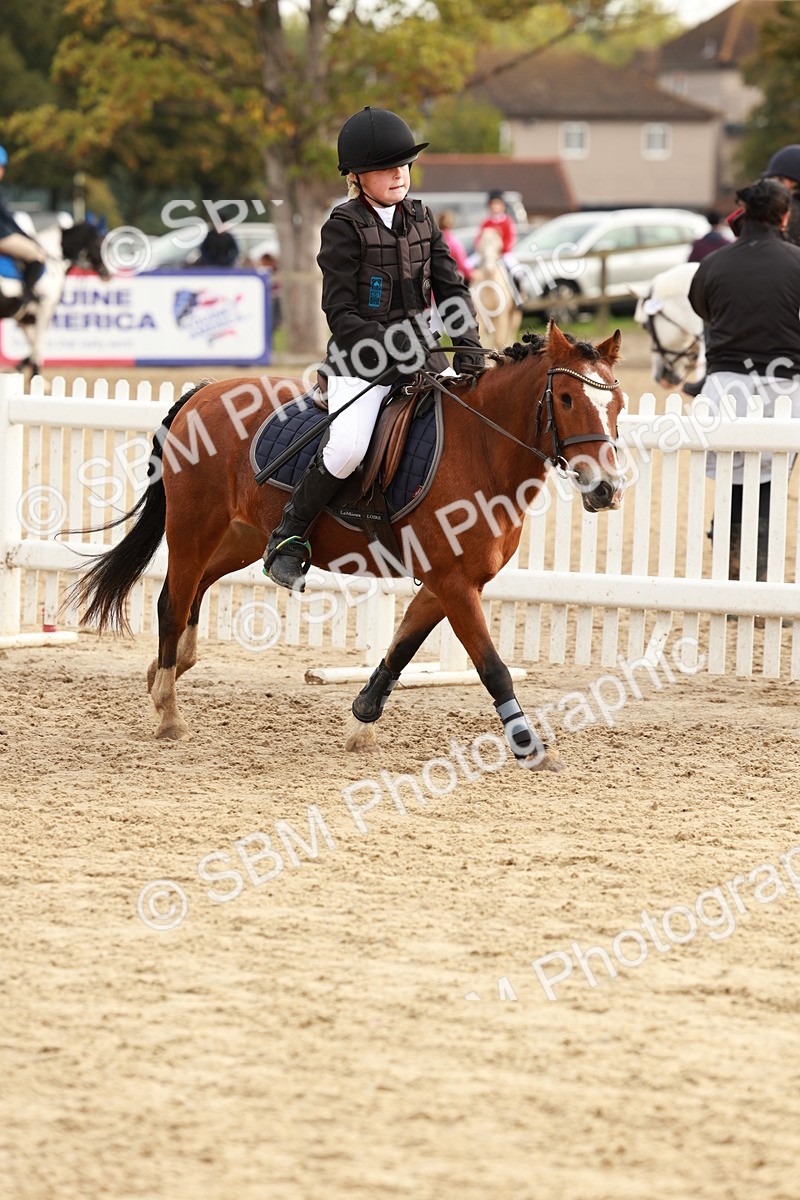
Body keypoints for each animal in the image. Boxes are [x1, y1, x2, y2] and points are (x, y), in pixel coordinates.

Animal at [0, 220, 108, 379]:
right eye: (99, 243)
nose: (108, 274)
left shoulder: (25, 317)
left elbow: (33, 344)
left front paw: (19, 369)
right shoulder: (44, 310)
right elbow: (38, 345)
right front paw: (35, 376)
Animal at [72, 321, 626, 771]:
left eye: (617, 405)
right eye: (567, 399)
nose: (606, 490)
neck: (483, 448)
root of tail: (204, 392)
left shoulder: (448, 583)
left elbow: (401, 649)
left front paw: (362, 720)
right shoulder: (454, 583)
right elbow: (493, 668)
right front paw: (528, 745)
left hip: (243, 538)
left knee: (196, 591)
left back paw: (164, 671)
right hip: (194, 528)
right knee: (172, 600)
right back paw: (167, 710)